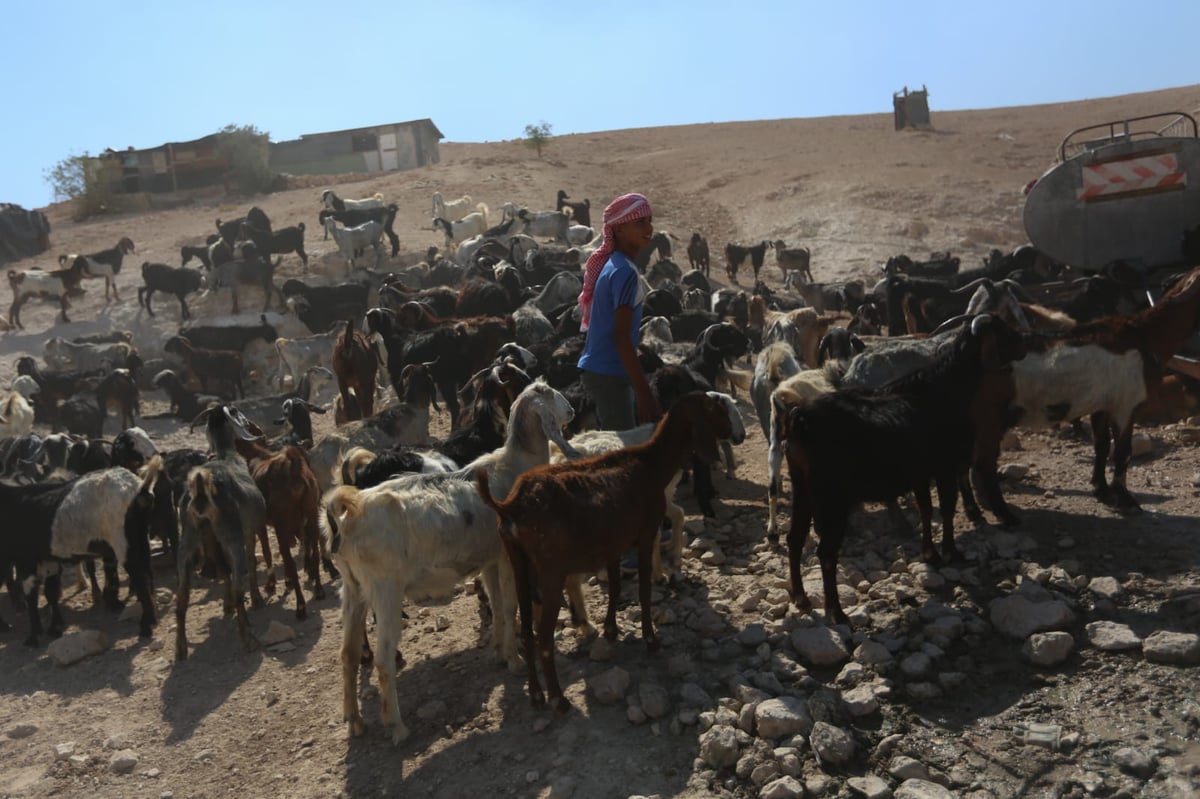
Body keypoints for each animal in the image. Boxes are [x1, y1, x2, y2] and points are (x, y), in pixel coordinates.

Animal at [321, 379, 578, 739]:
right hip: (385, 591)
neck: (512, 465)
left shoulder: (488, 560)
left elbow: (497, 605)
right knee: (383, 659)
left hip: (354, 589)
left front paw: (500, 652)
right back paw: (397, 727)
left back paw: (355, 721)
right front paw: (514, 661)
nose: (572, 410)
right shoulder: (506, 557)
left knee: (347, 654)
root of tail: (345, 518)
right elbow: (510, 605)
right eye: (550, 393)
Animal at [475, 391, 729, 710]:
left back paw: (535, 694)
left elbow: (616, 587)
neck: (651, 464)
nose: (734, 434)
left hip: (519, 565)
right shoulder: (645, 533)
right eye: (714, 410)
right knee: (544, 637)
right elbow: (643, 590)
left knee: (528, 631)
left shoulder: (612, 544)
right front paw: (650, 638)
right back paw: (557, 698)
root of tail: (510, 506)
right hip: (550, 570)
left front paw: (610, 630)